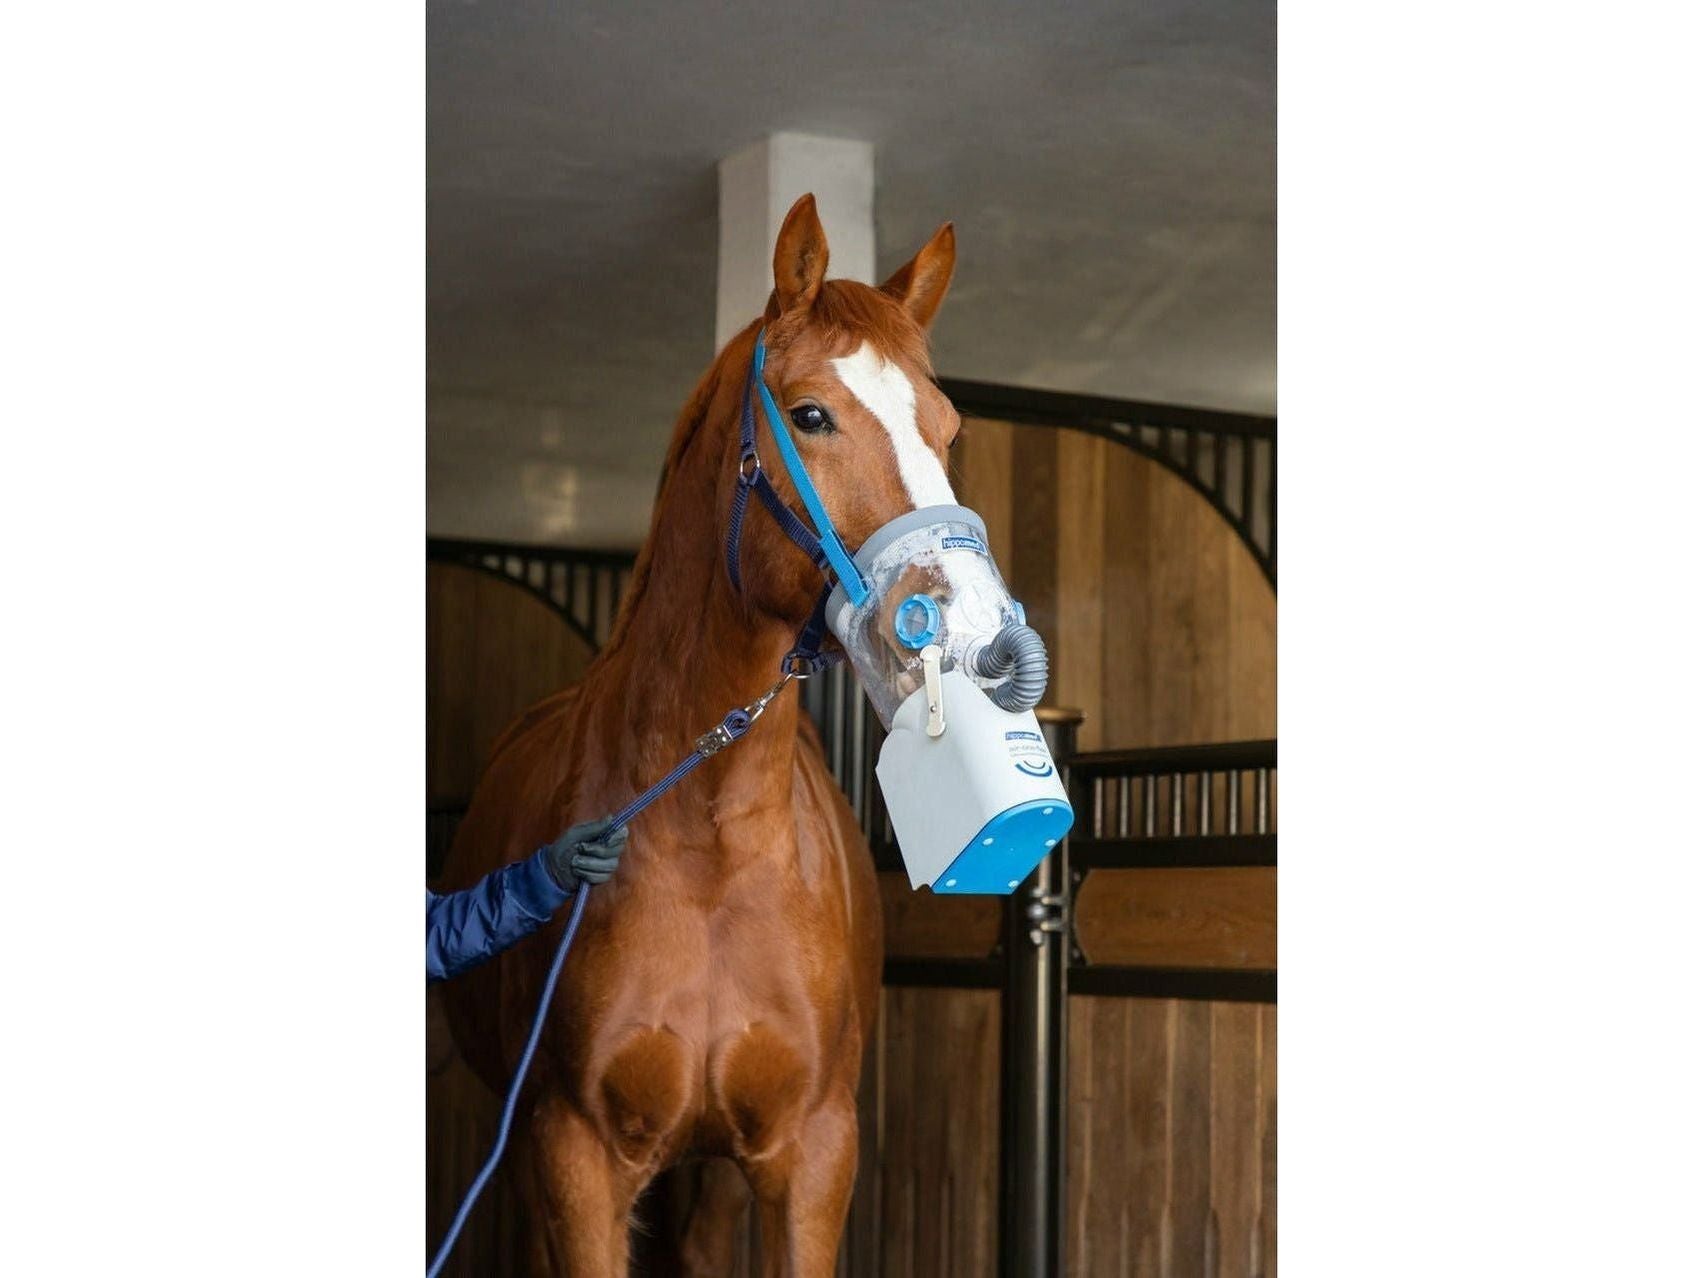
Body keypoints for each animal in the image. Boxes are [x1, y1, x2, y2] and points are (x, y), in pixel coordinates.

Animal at [439, 192, 961, 1277]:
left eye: (947, 430)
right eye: (810, 414)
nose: (961, 616)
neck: (714, 846)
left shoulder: (812, 1156)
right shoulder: (574, 1159)